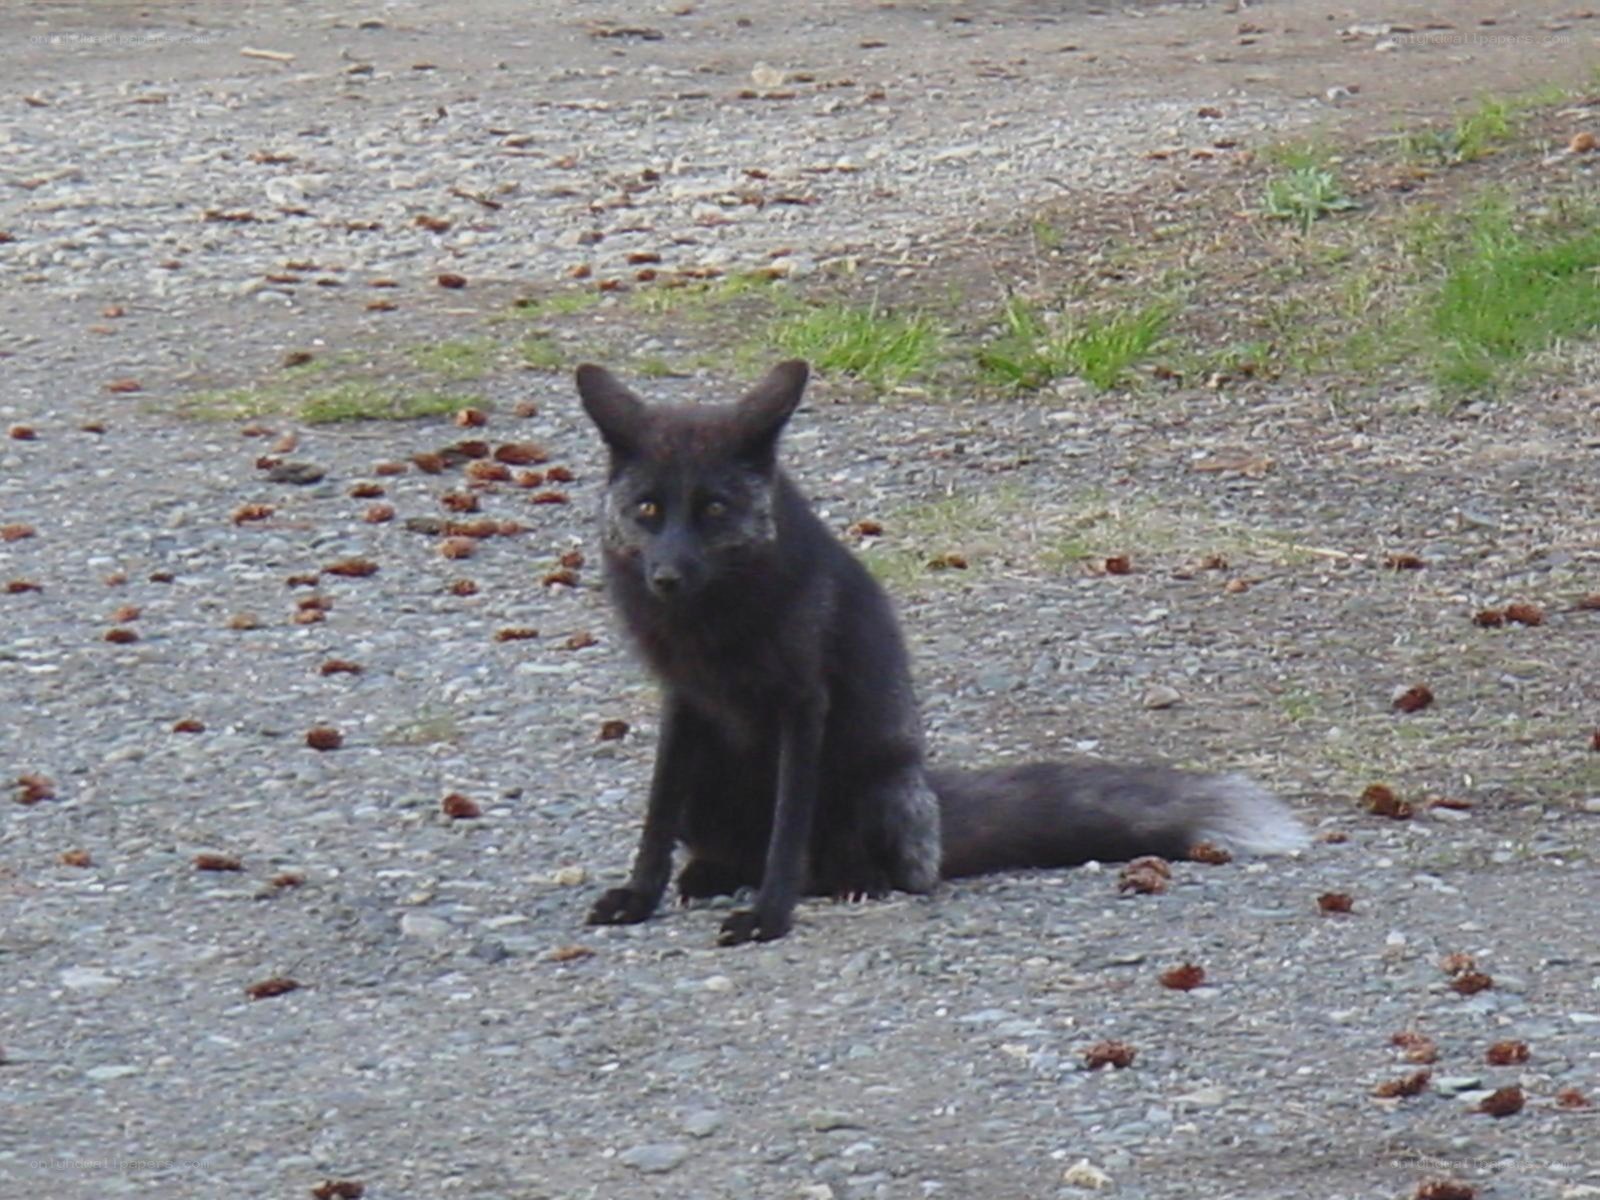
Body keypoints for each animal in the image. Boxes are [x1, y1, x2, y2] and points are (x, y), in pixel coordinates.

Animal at [575, 359, 1306, 945]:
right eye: (648, 510)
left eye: (714, 510)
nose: (666, 576)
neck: (711, 629)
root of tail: (932, 810)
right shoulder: (685, 703)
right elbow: (654, 823)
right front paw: (639, 897)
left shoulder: (802, 702)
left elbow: (787, 835)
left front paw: (769, 917)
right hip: (711, 787)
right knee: (726, 851)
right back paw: (709, 875)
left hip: (871, 791)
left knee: (852, 868)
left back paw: (852, 882)